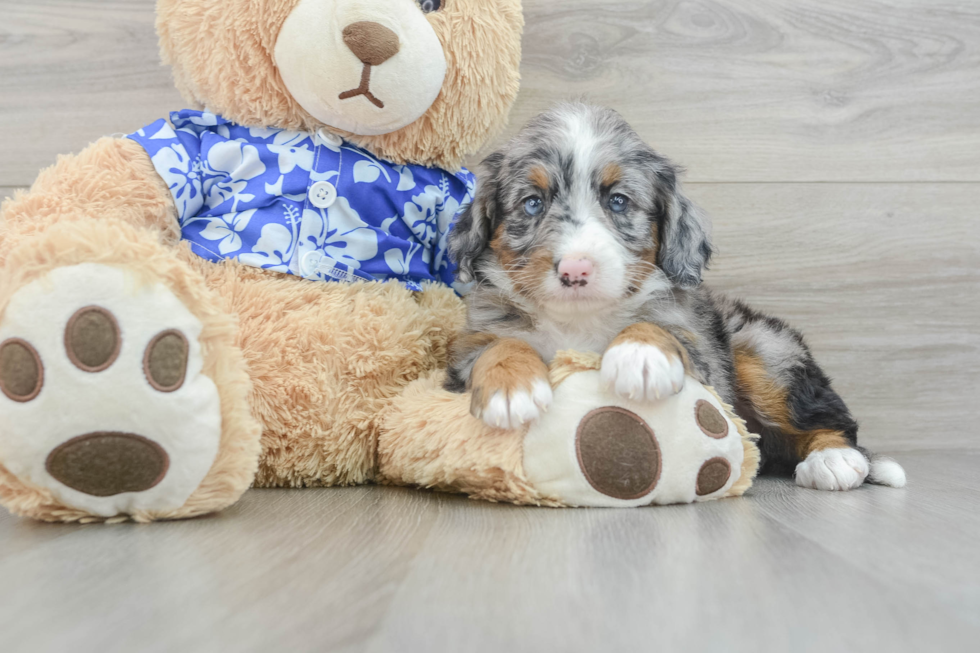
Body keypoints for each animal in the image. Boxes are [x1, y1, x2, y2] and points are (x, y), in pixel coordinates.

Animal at [444, 102, 904, 488]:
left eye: (618, 201)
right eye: (532, 203)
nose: (576, 269)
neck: (578, 321)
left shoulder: (704, 362)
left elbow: (659, 327)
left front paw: (641, 356)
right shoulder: (468, 349)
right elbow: (498, 345)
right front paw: (510, 389)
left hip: (762, 349)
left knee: (832, 420)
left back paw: (835, 460)